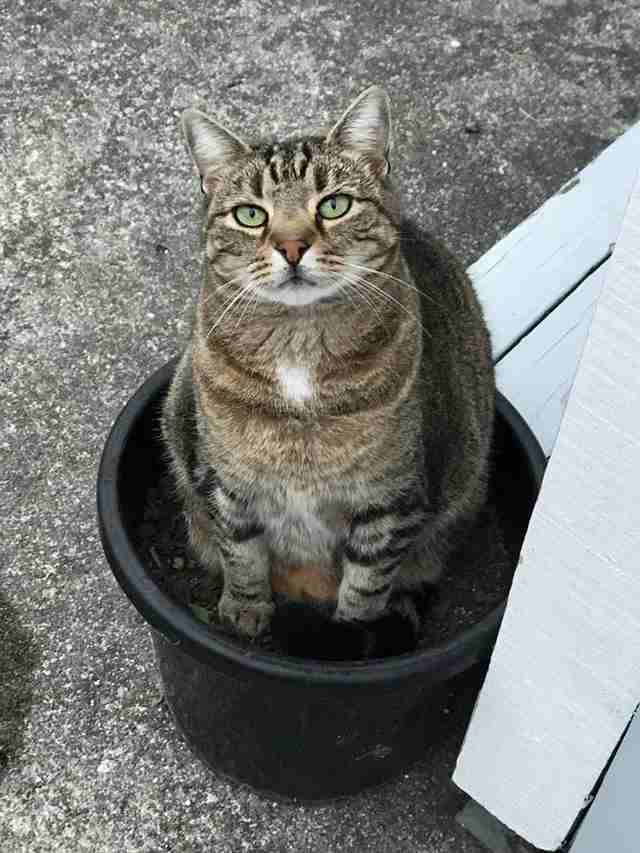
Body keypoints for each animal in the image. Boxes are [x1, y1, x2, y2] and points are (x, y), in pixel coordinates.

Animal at [161, 86, 496, 660]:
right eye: (250, 215)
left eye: (334, 205)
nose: (292, 247)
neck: (298, 345)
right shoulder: (227, 485)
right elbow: (241, 555)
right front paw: (245, 614)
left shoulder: (390, 501)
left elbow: (366, 587)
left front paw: (346, 634)